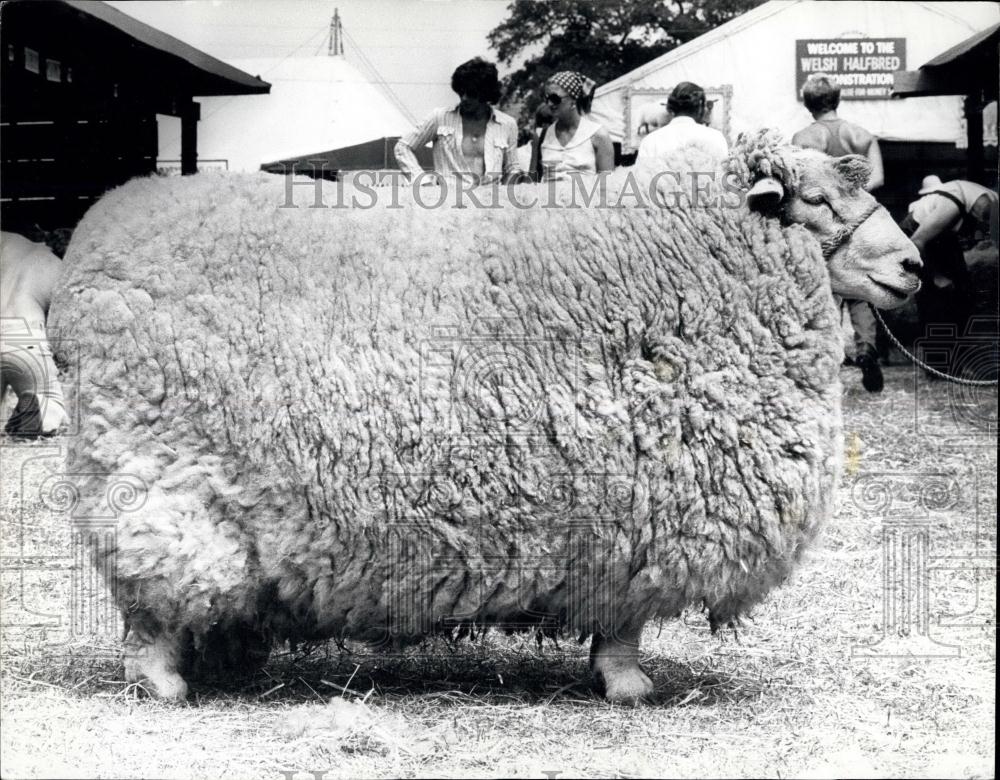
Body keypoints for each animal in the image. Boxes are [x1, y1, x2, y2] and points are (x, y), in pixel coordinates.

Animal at [48, 131, 920, 704]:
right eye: (817, 199)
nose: (913, 264)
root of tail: (90, 242)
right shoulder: (639, 515)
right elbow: (625, 628)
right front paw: (628, 685)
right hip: (158, 480)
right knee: (146, 604)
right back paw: (164, 682)